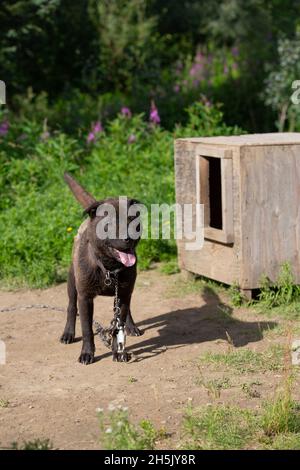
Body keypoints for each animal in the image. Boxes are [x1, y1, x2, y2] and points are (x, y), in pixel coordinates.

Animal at [60, 174, 142, 366]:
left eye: (132, 221)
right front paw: (87, 354)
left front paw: (119, 351)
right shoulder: (85, 298)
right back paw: (68, 333)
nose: (128, 238)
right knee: (70, 307)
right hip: (72, 282)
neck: (108, 268)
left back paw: (131, 326)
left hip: (127, 291)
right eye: (110, 223)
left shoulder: (123, 294)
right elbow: (87, 329)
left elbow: (118, 326)